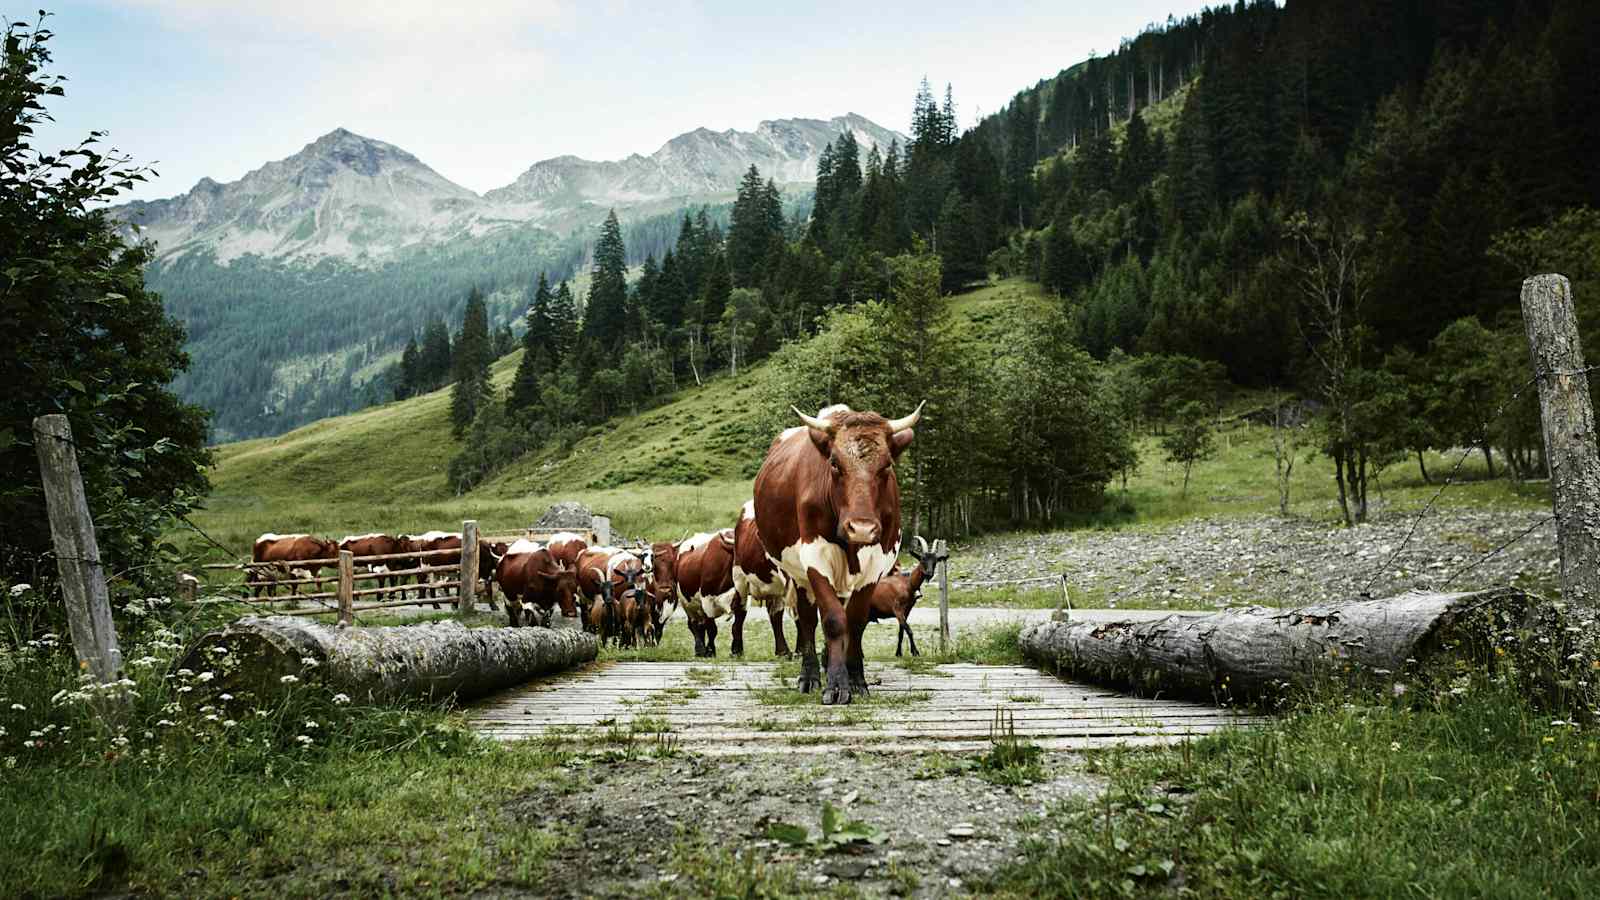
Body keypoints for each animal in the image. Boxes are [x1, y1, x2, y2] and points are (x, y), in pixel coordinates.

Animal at [752, 398, 928, 701]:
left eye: (886, 466)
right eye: (834, 464)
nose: (861, 528)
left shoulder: (875, 563)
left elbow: (855, 622)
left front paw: (856, 678)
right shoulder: (815, 558)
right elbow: (833, 620)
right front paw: (836, 684)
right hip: (797, 575)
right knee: (807, 620)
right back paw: (810, 675)